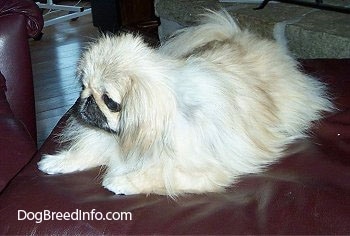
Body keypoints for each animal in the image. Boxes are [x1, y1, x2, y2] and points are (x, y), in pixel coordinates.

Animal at [38, 10, 334, 196]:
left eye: (110, 101)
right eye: (83, 87)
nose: (85, 101)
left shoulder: (203, 169)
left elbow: (161, 174)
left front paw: (121, 181)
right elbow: (83, 153)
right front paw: (56, 162)